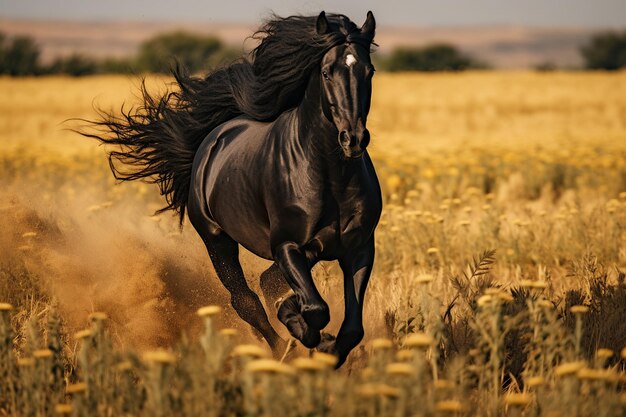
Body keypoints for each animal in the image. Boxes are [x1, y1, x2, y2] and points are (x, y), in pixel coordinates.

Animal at [84, 11, 380, 366]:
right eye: (326, 71)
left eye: (369, 71)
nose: (353, 139)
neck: (329, 176)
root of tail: (216, 134)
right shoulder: (287, 245)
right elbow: (315, 310)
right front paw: (305, 333)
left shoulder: (358, 249)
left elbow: (351, 329)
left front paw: (325, 348)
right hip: (217, 240)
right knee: (246, 300)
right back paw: (279, 348)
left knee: (266, 282)